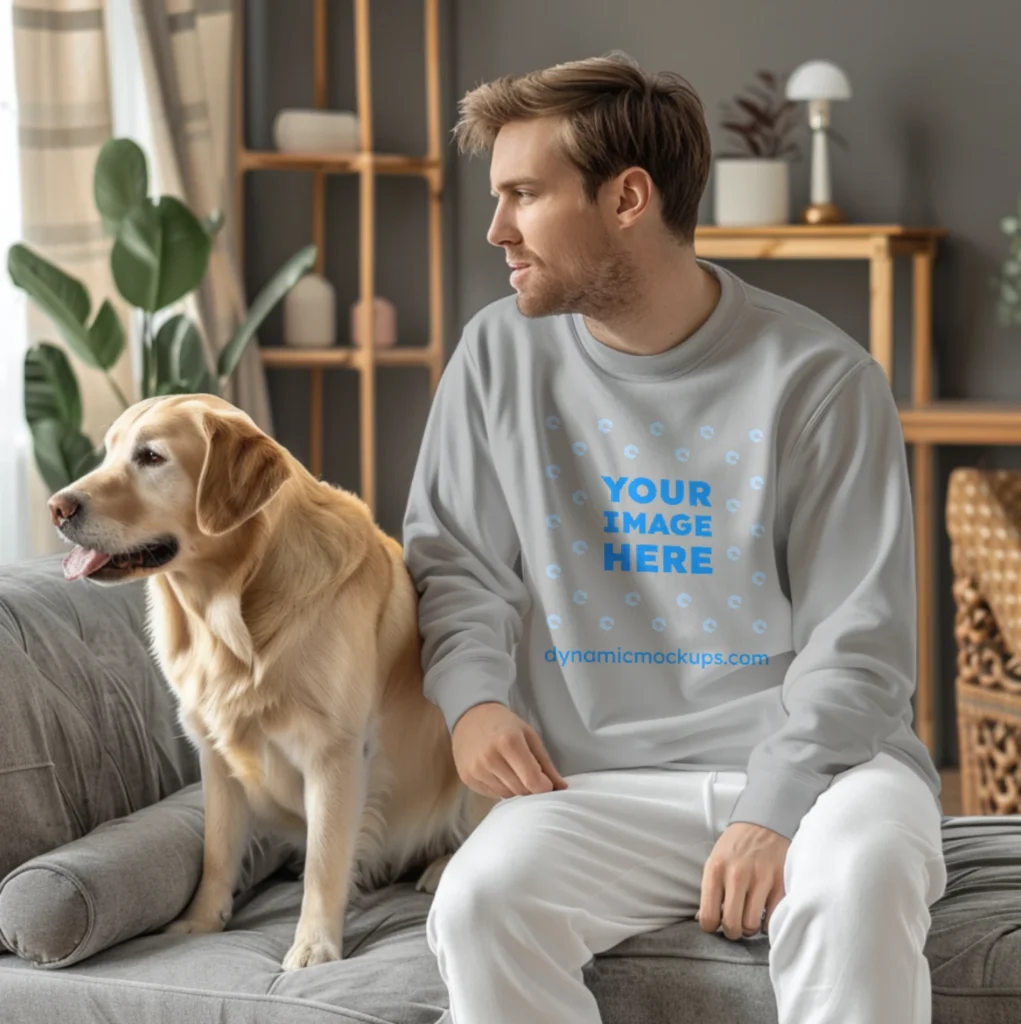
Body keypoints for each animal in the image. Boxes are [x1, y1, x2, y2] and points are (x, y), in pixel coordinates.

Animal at [47, 389, 493, 966]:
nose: (57, 507)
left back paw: (442, 867)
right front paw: (202, 921)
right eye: (108, 452)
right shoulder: (214, 755)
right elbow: (217, 850)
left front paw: (314, 945)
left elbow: (326, 859)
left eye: (151, 457)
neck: (230, 609)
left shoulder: (334, 753)